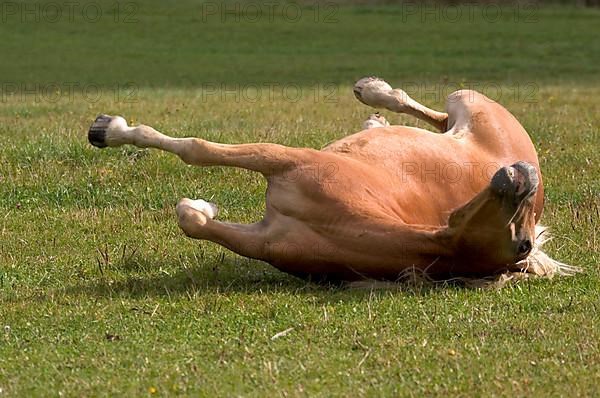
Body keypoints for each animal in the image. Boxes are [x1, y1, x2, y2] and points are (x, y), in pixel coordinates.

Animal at [88, 77, 576, 282]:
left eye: (523, 244)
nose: (523, 173)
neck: (335, 222)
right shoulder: (262, 236)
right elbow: (194, 221)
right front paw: (202, 207)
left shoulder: (285, 160)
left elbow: (196, 149)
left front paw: (110, 129)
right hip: (459, 110)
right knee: (433, 118)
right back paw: (373, 107)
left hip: (468, 99)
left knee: (432, 109)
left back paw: (375, 98)